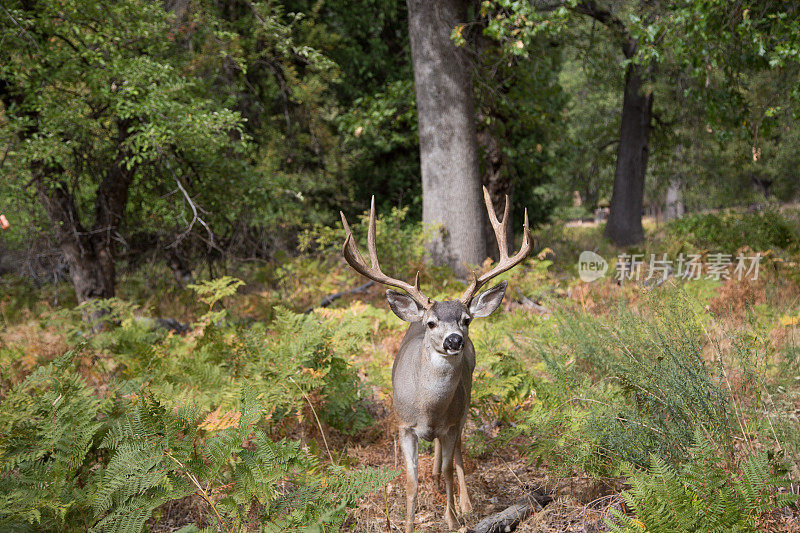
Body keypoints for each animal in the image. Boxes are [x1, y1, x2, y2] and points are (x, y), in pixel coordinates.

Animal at [340, 187, 532, 532]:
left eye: (466, 320)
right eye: (431, 323)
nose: (454, 340)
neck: (428, 409)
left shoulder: (452, 422)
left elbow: (448, 469)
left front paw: (453, 518)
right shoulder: (402, 425)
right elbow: (411, 481)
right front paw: (408, 524)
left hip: (466, 404)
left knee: (457, 455)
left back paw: (466, 504)